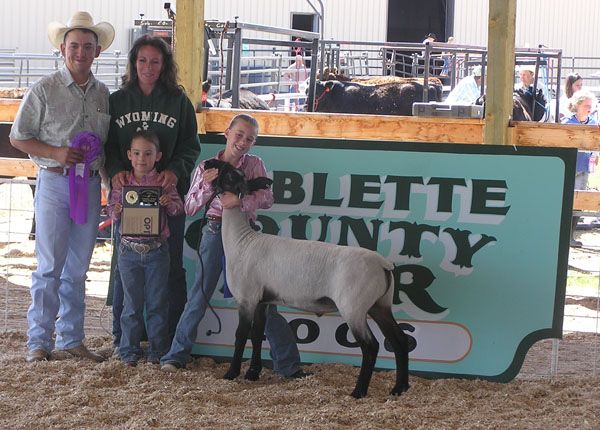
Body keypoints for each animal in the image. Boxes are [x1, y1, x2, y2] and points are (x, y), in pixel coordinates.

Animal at [207, 159, 412, 400]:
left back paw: (358, 391)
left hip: (353, 307)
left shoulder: (247, 298)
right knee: (400, 341)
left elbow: (241, 335)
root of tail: (383, 265)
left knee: (371, 347)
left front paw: (231, 373)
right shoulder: (262, 300)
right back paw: (399, 388)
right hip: (380, 306)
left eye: (231, 175)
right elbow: (257, 335)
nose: (210, 163)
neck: (241, 240)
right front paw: (252, 373)